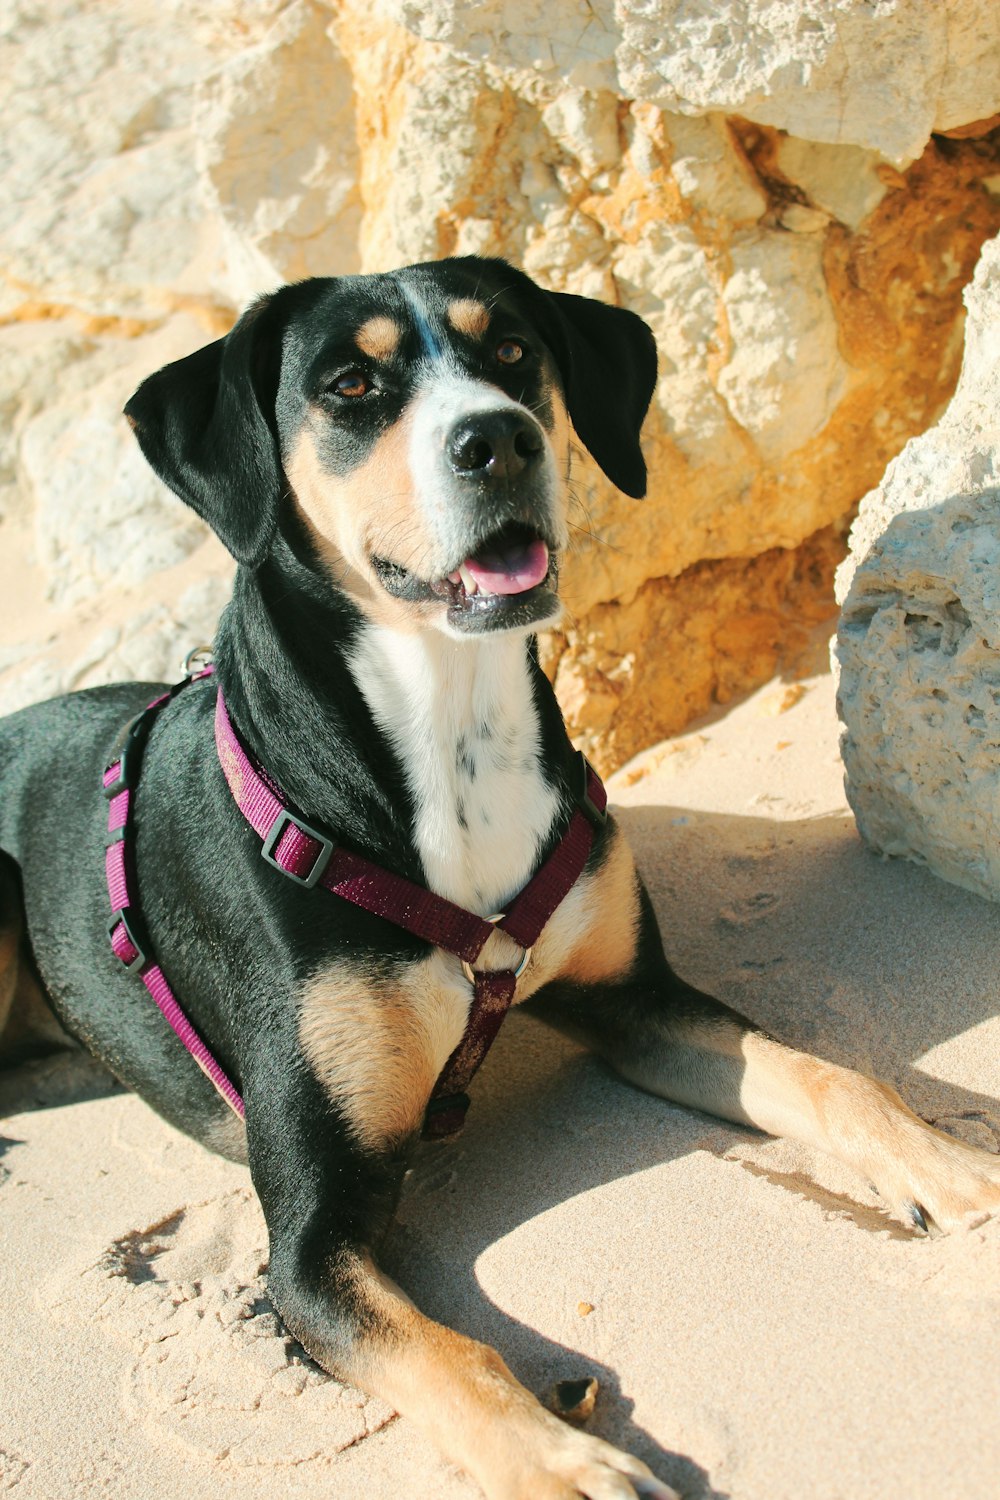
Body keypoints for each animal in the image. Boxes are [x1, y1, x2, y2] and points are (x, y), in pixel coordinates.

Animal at [1, 261, 1000, 1500]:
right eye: (350, 384)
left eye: (515, 352)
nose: (499, 440)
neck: (449, 722)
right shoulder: (309, 1238)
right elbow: (448, 1351)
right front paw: (563, 1460)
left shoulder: (634, 998)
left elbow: (830, 1078)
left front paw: (958, 1173)